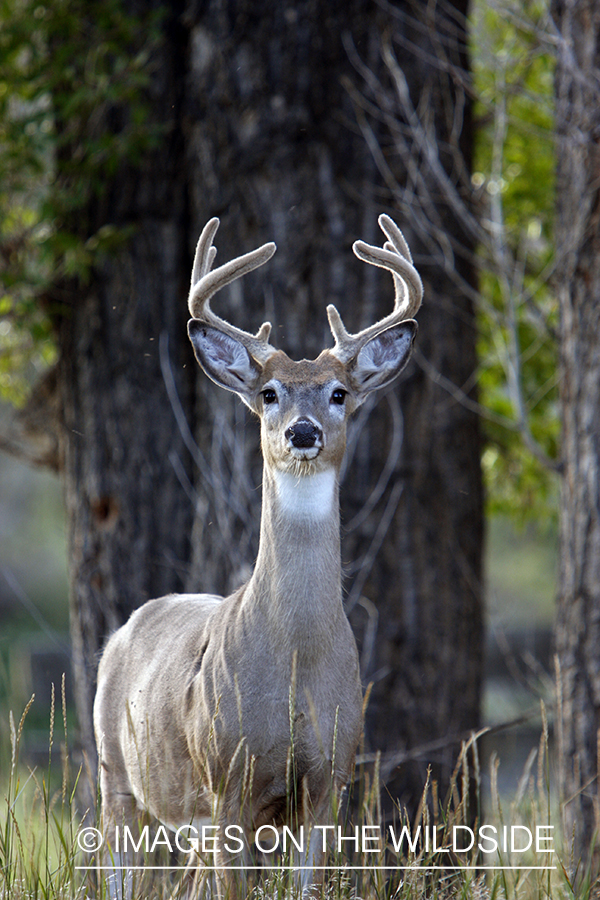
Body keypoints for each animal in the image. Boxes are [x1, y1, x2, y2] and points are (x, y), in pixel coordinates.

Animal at [94, 214, 422, 896]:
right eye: (270, 393)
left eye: (339, 393)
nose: (303, 432)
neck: (295, 660)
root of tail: (122, 630)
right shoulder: (227, 780)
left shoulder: (328, 782)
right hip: (117, 776)